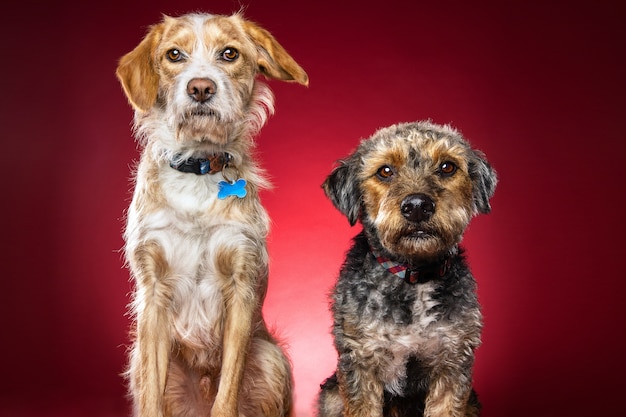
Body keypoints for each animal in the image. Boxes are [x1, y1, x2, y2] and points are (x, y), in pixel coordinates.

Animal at [114, 12, 308, 416]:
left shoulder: (240, 285)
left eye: (229, 53)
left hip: (270, 359)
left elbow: (228, 386)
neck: (199, 167)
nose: (201, 88)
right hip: (140, 357)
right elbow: (152, 392)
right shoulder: (154, 290)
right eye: (174, 54)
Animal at [320, 120, 494, 416]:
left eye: (447, 167)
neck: (415, 276)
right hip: (332, 397)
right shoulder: (361, 359)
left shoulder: (452, 361)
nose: (417, 206)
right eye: (385, 171)